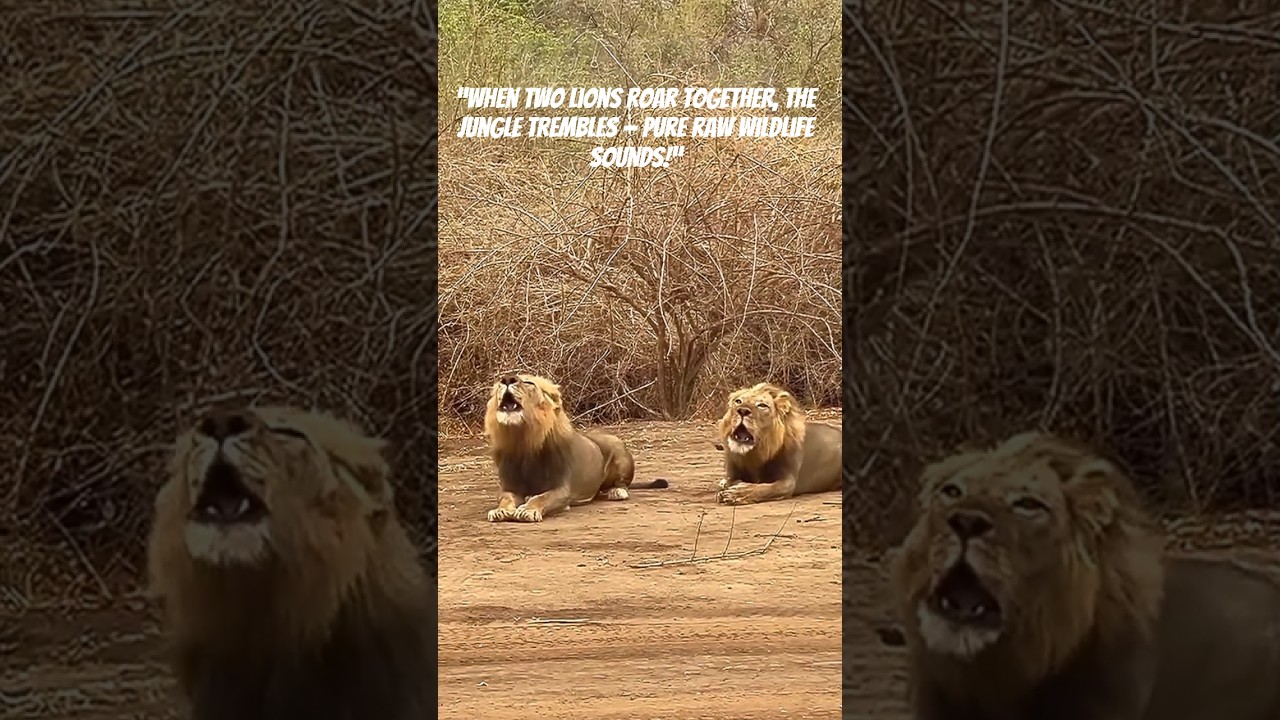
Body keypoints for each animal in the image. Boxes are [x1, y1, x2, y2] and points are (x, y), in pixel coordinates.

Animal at [483, 373, 669, 523]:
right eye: (499, 384)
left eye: (529, 382)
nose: (507, 379)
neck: (523, 440)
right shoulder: (510, 486)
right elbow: (506, 499)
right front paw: (500, 511)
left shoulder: (561, 489)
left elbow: (542, 498)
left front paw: (527, 510)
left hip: (618, 450)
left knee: (622, 483)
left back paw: (617, 492)